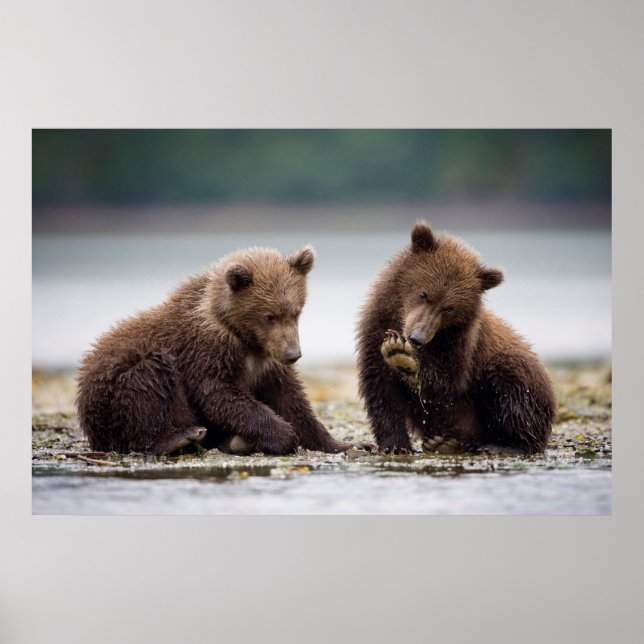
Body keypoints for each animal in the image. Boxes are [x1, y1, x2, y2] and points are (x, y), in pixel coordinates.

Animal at [76, 244, 354, 456]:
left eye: (296, 312)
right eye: (269, 316)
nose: (293, 354)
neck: (245, 338)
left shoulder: (267, 361)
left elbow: (291, 399)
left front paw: (341, 443)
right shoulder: (207, 350)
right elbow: (218, 392)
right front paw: (283, 434)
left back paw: (232, 441)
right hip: (114, 391)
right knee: (148, 380)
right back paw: (178, 438)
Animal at [356, 220, 557, 455]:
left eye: (449, 308)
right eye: (423, 293)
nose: (417, 338)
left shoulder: (461, 342)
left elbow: (447, 383)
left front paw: (404, 358)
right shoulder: (374, 328)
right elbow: (381, 389)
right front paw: (395, 445)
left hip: (521, 377)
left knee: (513, 386)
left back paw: (505, 444)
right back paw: (443, 443)